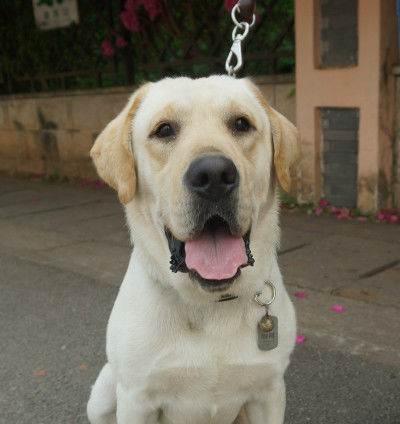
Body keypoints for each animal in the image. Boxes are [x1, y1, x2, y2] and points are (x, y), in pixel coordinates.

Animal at [89, 76, 298, 424]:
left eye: (241, 123)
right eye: (164, 130)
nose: (213, 175)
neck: (210, 304)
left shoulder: (269, 391)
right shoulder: (135, 398)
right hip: (104, 392)